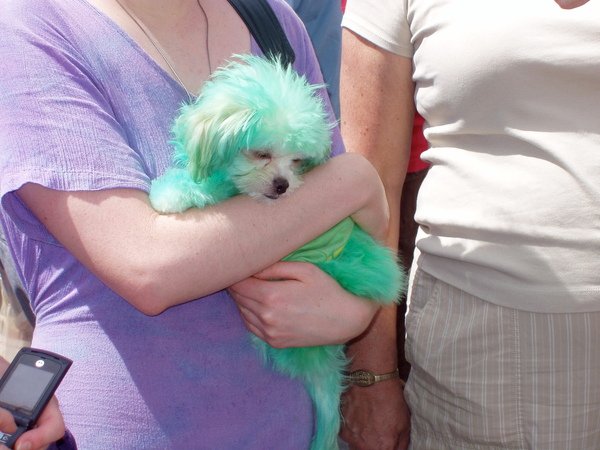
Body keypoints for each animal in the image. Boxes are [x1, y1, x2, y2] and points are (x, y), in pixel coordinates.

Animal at [149, 55, 408, 450]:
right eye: (261, 153)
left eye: (298, 160)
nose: (283, 185)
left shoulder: (229, 191)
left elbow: (210, 187)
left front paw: (171, 192)